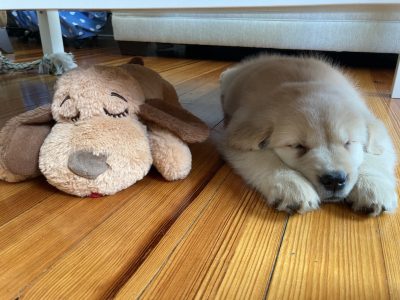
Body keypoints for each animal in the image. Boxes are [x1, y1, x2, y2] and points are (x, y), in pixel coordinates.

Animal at [219, 54, 396, 216]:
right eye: (298, 146)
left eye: (348, 143)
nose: (334, 180)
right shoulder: (237, 138)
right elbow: (264, 159)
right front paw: (293, 186)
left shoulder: (381, 136)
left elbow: (373, 157)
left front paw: (373, 187)